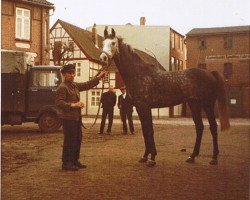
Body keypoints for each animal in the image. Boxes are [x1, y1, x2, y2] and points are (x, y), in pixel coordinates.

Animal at [100, 27, 230, 166]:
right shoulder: (140, 108)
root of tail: (210, 74)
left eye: (113, 43)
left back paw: (214, 158)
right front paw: (145, 156)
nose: (103, 58)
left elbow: (149, 130)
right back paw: (192, 156)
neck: (139, 73)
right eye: (102, 43)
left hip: (207, 104)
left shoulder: (144, 106)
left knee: (213, 127)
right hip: (194, 104)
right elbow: (145, 130)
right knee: (199, 127)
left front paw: (152, 158)